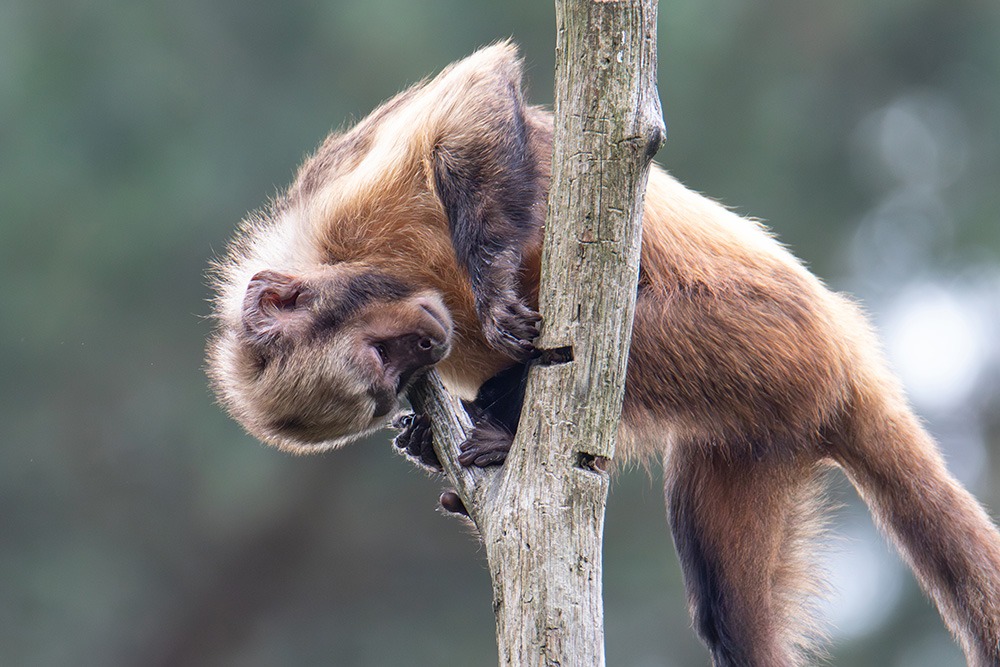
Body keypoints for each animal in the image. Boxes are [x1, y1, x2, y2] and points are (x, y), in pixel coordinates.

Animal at [207, 43, 1000, 667]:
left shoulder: (343, 210)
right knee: (730, 612)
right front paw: (422, 433)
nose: (428, 343)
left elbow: (475, 96)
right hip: (762, 427)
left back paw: (506, 409)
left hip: (770, 336)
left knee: (608, 329)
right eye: (390, 370)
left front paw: (493, 284)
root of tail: (846, 348)